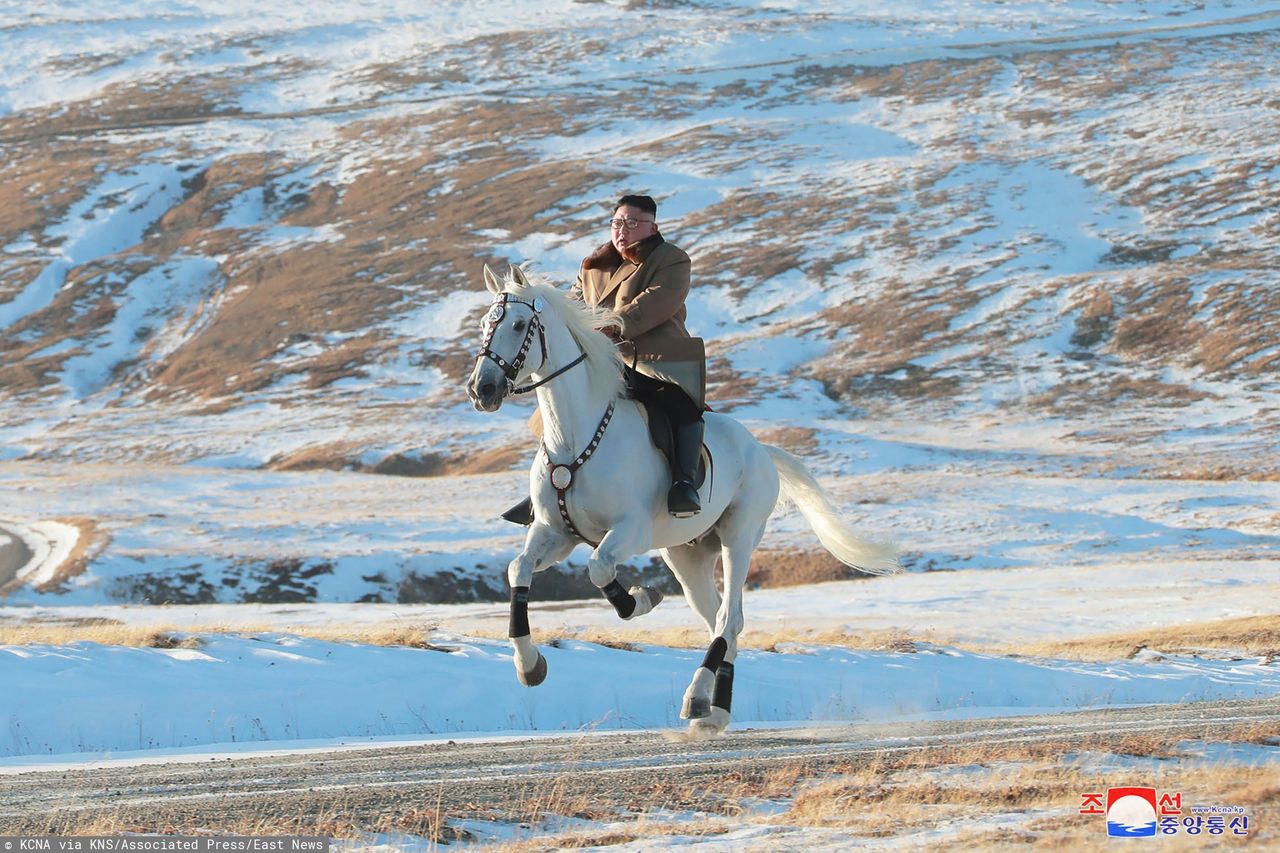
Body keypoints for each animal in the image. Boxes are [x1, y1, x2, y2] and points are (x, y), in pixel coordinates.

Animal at [465, 263, 896, 732]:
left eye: (519, 324)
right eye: (486, 324)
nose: (482, 389)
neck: (575, 437)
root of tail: (762, 449)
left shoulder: (630, 530)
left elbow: (599, 568)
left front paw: (640, 600)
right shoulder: (554, 533)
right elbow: (518, 569)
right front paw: (529, 665)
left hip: (739, 536)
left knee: (728, 618)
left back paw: (696, 698)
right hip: (687, 555)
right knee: (722, 621)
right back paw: (714, 709)